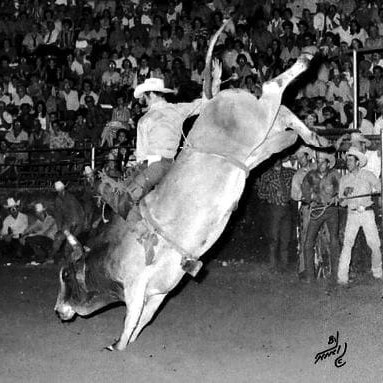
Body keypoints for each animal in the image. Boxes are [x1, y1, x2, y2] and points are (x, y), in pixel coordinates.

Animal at [54, 21, 330, 352]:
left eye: (66, 274)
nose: (57, 310)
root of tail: (212, 101)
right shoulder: (158, 291)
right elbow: (143, 320)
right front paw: (129, 340)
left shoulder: (135, 285)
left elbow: (130, 318)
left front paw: (117, 345)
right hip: (263, 130)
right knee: (283, 115)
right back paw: (314, 136)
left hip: (257, 116)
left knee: (273, 87)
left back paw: (305, 59)